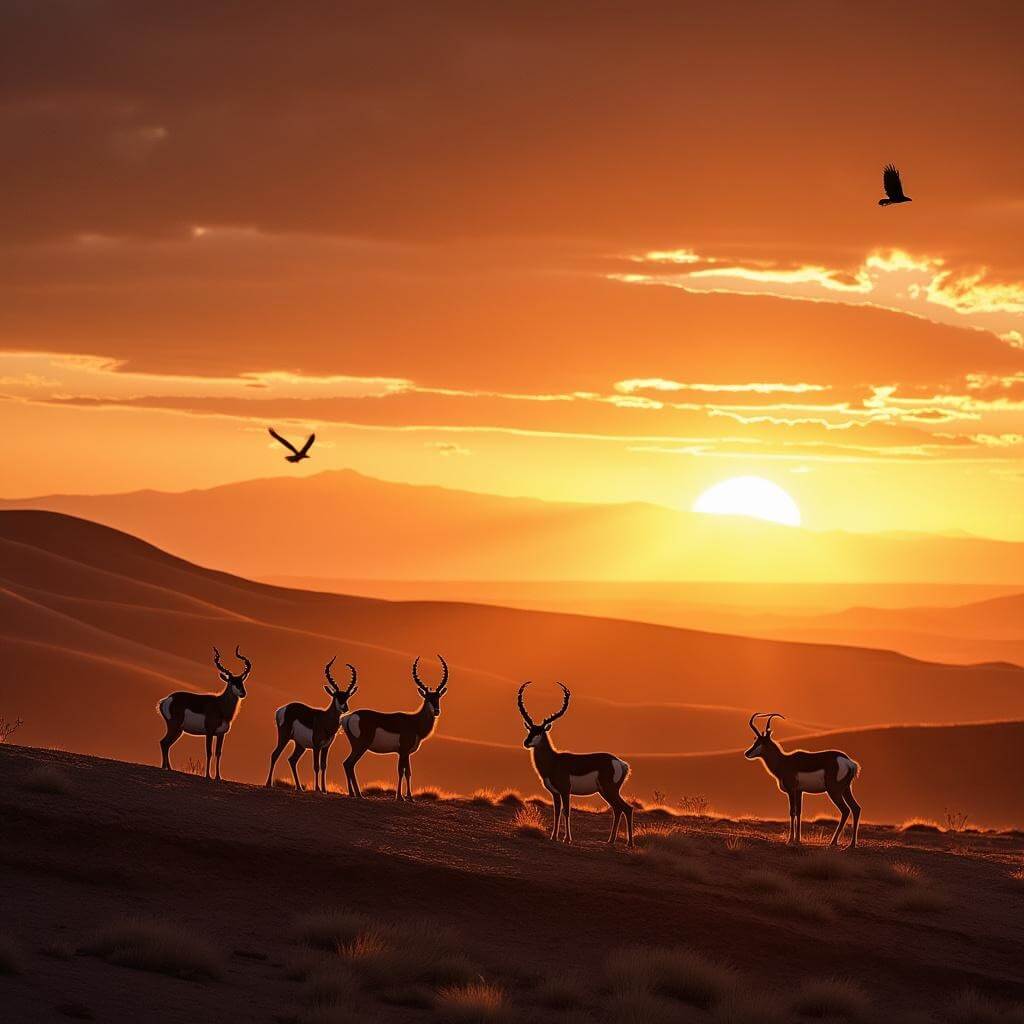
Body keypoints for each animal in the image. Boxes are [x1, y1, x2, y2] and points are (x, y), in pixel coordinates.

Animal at [157, 646, 252, 780]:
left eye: (241, 682)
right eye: (231, 681)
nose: (243, 693)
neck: (220, 706)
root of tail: (166, 700)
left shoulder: (221, 734)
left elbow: (218, 753)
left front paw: (218, 777)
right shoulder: (209, 732)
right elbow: (209, 752)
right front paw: (208, 775)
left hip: (179, 730)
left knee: (167, 744)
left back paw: (168, 768)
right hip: (174, 727)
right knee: (164, 742)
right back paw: (165, 767)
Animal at [266, 657, 358, 793]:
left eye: (347, 696)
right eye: (336, 696)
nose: (345, 708)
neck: (324, 720)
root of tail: (281, 709)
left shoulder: (326, 747)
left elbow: (324, 766)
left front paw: (324, 790)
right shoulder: (316, 746)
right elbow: (316, 766)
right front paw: (318, 789)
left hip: (300, 745)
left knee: (292, 760)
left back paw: (299, 788)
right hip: (284, 737)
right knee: (275, 754)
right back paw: (268, 784)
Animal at [340, 654, 449, 800]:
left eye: (438, 697)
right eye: (427, 698)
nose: (436, 711)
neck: (414, 722)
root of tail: (348, 717)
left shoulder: (405, 753)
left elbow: (408, 772)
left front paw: (410, 798)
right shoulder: (402, 751)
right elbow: (401, 771)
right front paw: (400, 797)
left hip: (356, 746)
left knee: (348, 765)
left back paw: (354, 794)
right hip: (361, 746)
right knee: (349, 763)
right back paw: (358, 795)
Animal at [516, 682, 633, 847]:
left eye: (539, 732)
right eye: (530, 730)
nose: (526, 743)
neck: (554, 761)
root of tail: (621, 763)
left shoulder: (566, 790)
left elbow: (566, 811)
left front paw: (567, 839)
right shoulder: (555, 793)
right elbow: (556, 812)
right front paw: (553, 837)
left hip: (609, 790)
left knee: (627, 808)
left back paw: (629, 844)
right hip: (604, 791)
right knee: (618, 809)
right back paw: (610, 841)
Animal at [744, 712, 862, 848]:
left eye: (762, 743)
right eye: (755, 740)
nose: (747, 753)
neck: (784, 761)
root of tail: (850, 763)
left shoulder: (791, 790)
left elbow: (792, 812)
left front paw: (790, 840)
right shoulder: (800, 791)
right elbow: (799, 812)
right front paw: (798, 840)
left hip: (834, 791)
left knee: (845, 810)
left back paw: (833, 842)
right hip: (846, 789)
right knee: (856, 808)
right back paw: (851, 844)